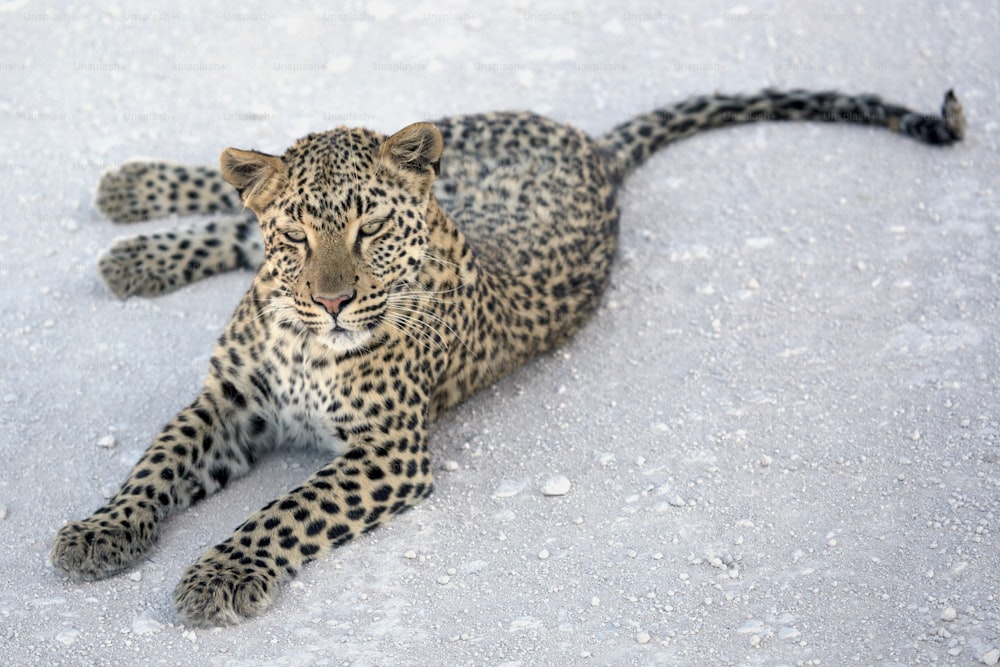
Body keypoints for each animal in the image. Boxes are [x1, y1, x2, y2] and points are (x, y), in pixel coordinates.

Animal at [50, 88, 964, 628]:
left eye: (369, 230)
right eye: (301, 236)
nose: (334, 299)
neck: (299, 334)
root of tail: (590, 145)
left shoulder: (388, 452)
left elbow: (286, 509)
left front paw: (221, 571)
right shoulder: (227, 400)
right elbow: (155, 462)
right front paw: (102, 530)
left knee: (232, 212)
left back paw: (130, 238)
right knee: (236, 192)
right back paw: (135, 205)